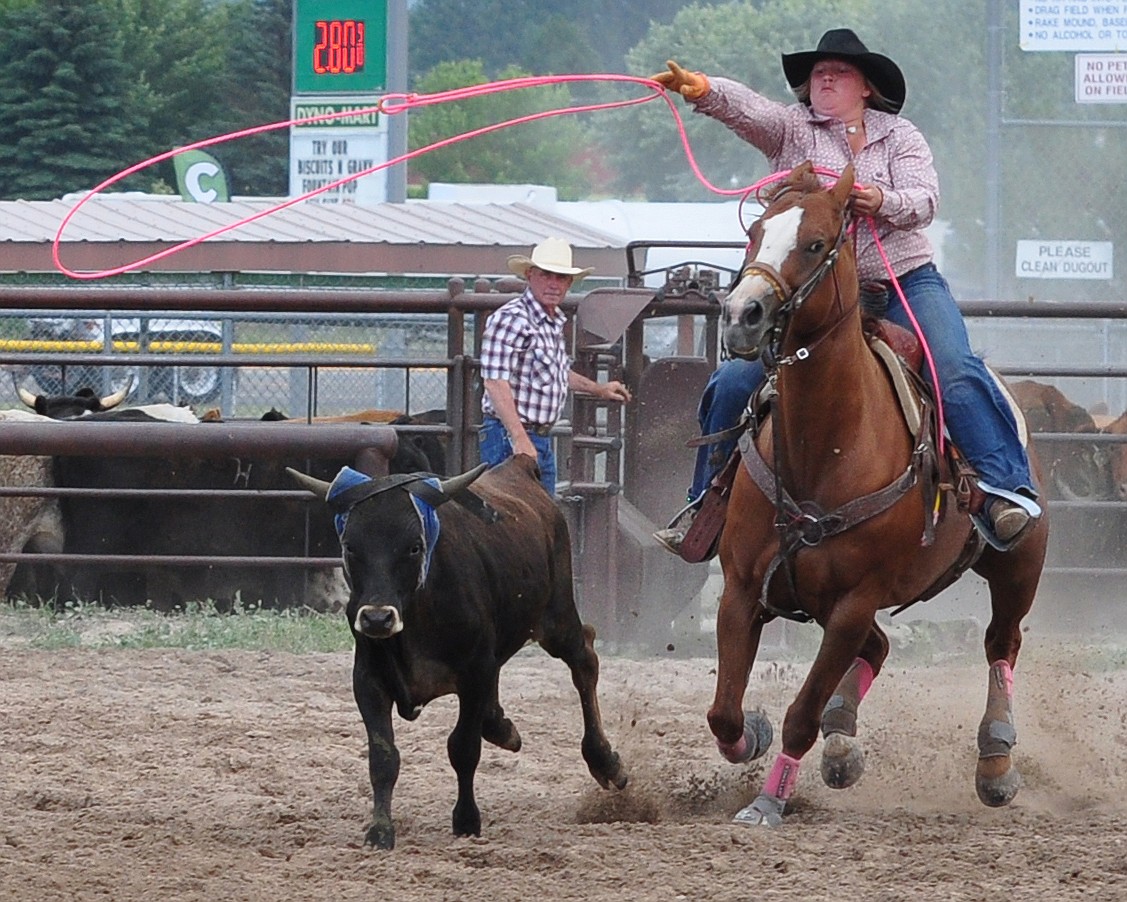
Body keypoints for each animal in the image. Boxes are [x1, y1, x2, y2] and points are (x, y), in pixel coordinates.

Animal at [286, 455, 631, 847]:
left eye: (413, 546)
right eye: (350, 547)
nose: (376, 618)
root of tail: (519, 468)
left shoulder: (474, 674)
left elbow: (463, 748)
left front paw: (466, 819)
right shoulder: (369, 680)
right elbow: (384, 757)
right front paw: (380, 830)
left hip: (556, 617)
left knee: (584, 658)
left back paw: (605, 761)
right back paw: (502, 726)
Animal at [712, 160, 1045, 825]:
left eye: (816, 243)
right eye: (755, 234)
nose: (742, 315)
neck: (825, 448)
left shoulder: (853, 603)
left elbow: (800, 715)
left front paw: (769, 801)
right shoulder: (741, 587)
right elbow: (725, 714)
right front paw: (754, 735)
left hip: (1018, 567)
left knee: (1002, 643)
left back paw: (995, 761)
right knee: (884, 647)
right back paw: (843, 740)